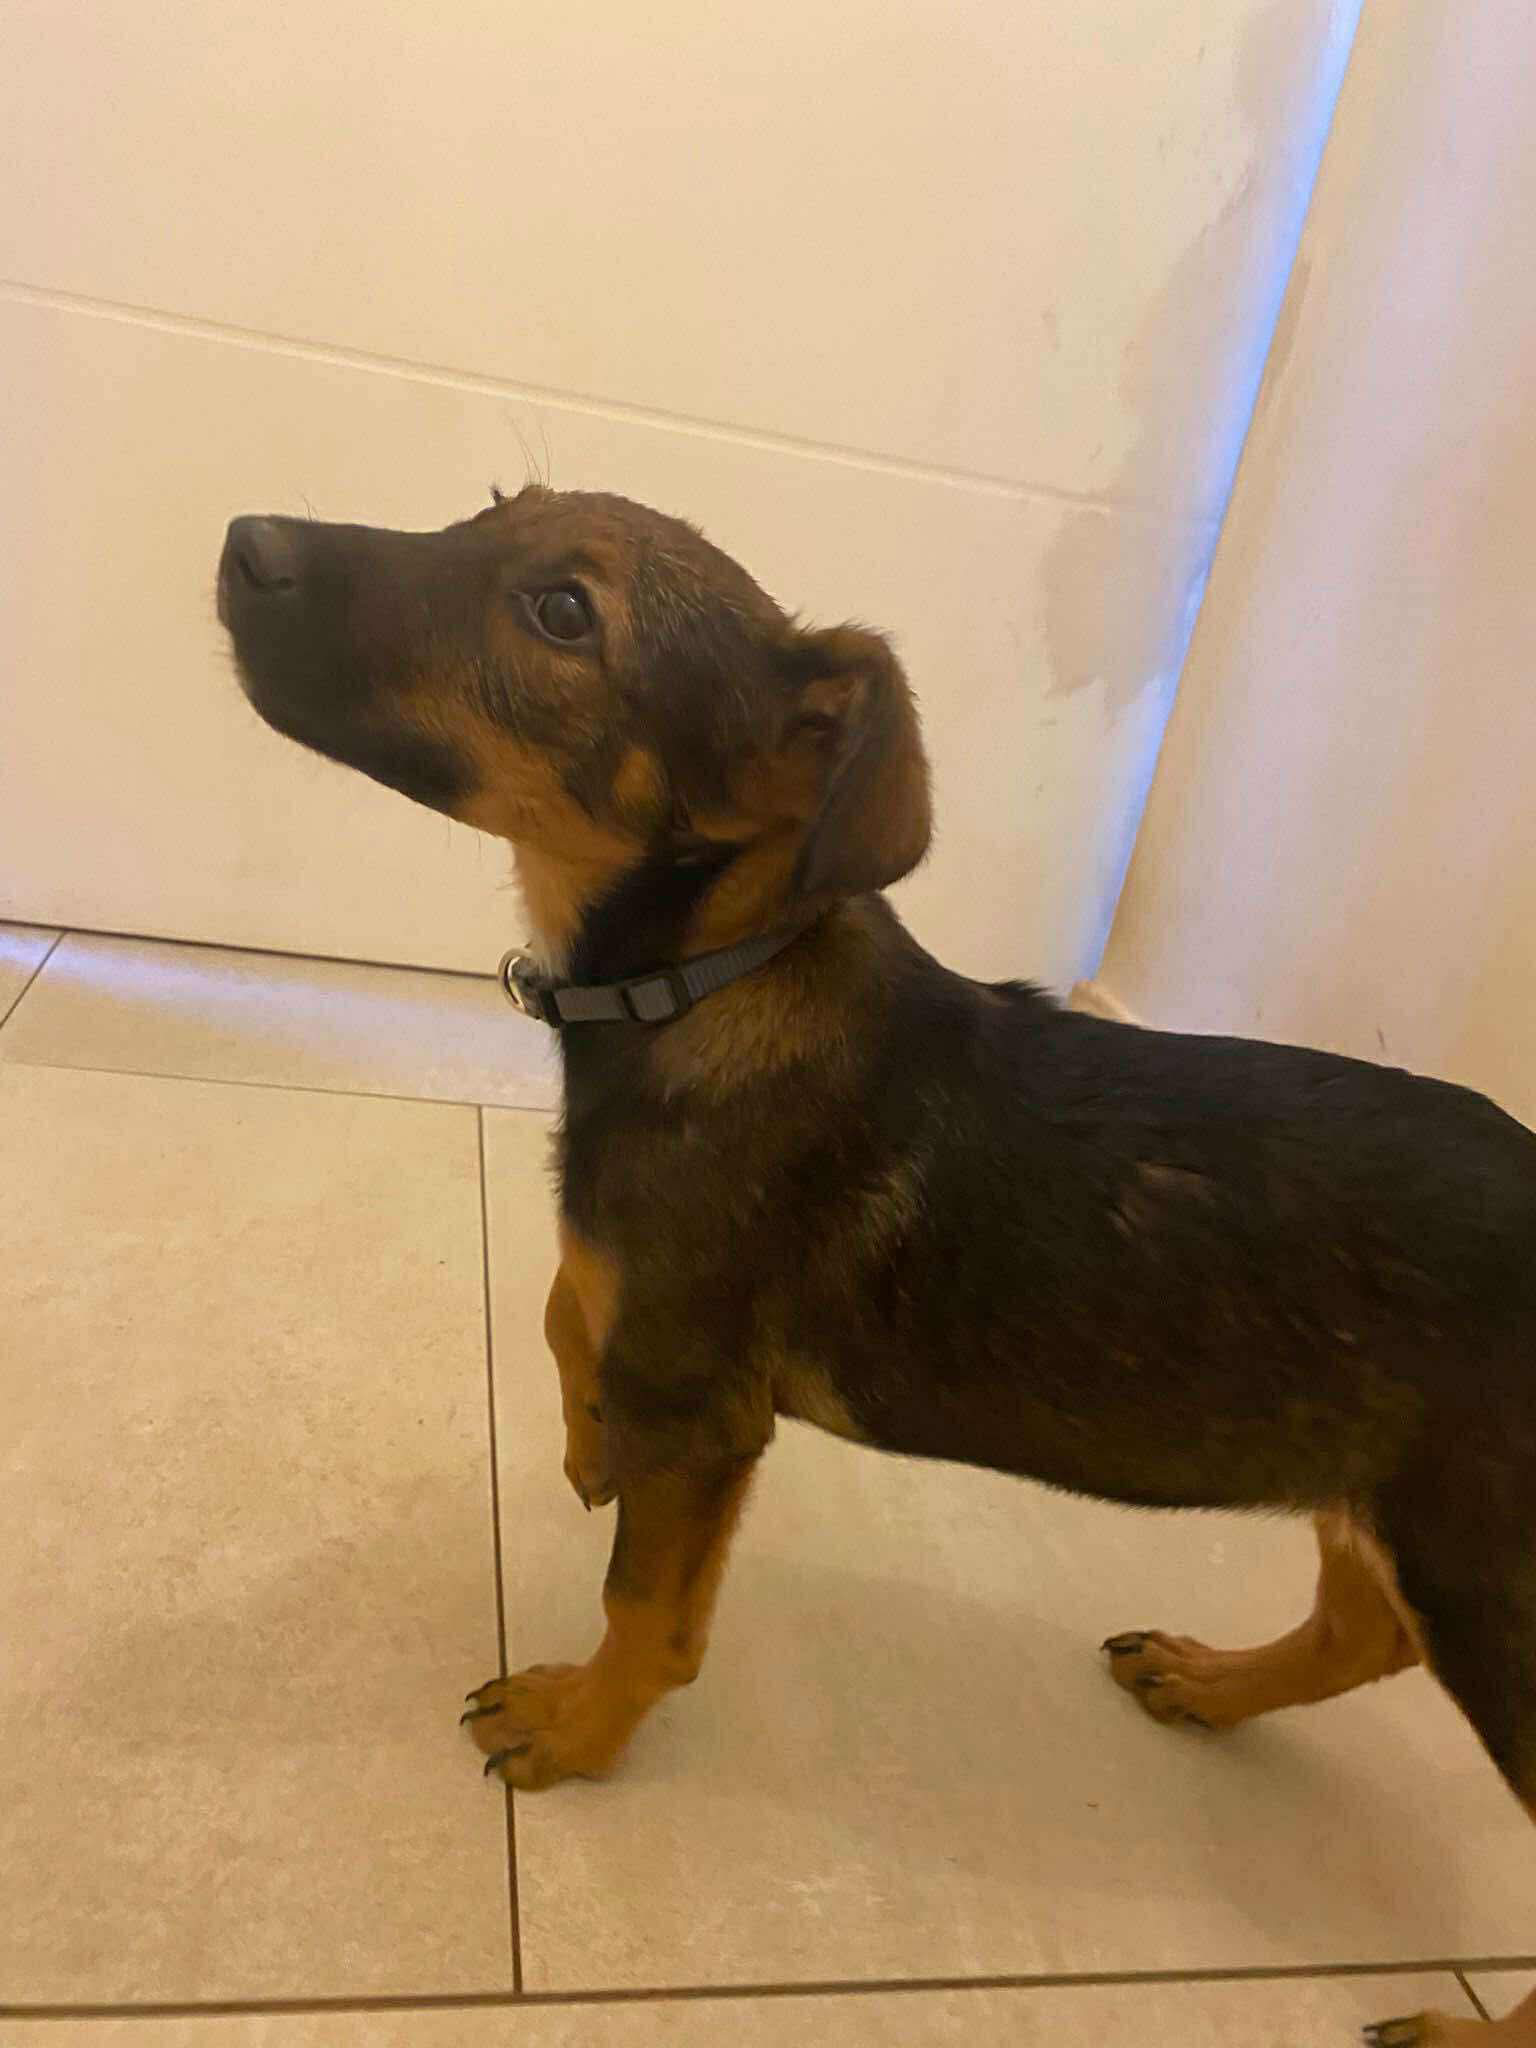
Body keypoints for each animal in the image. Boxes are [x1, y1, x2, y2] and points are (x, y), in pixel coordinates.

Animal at [219, 485, 1535, 2046]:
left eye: (564, 612)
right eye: (489, 511)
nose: (241, 542)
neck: (709, 975)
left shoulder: (710, 1415)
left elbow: (644, 1604)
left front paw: (576, 1727)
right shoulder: (671, 1337)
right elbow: (569, 1292)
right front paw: (588, 1435)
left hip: (1489, 1565)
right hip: (1386, 1486)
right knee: (1356, 1626)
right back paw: (1210, 1682)